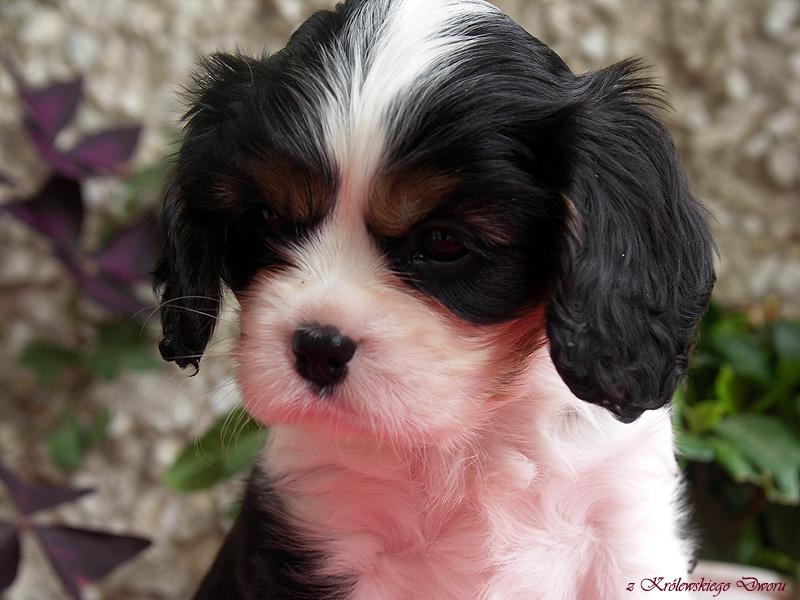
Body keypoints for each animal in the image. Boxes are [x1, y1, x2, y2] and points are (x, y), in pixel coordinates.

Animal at [153, 0, 715, 598]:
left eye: (444, 240)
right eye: (269, 219)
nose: (318, 348)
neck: (465, 437)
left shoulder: (627, 531)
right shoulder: (319, 534)